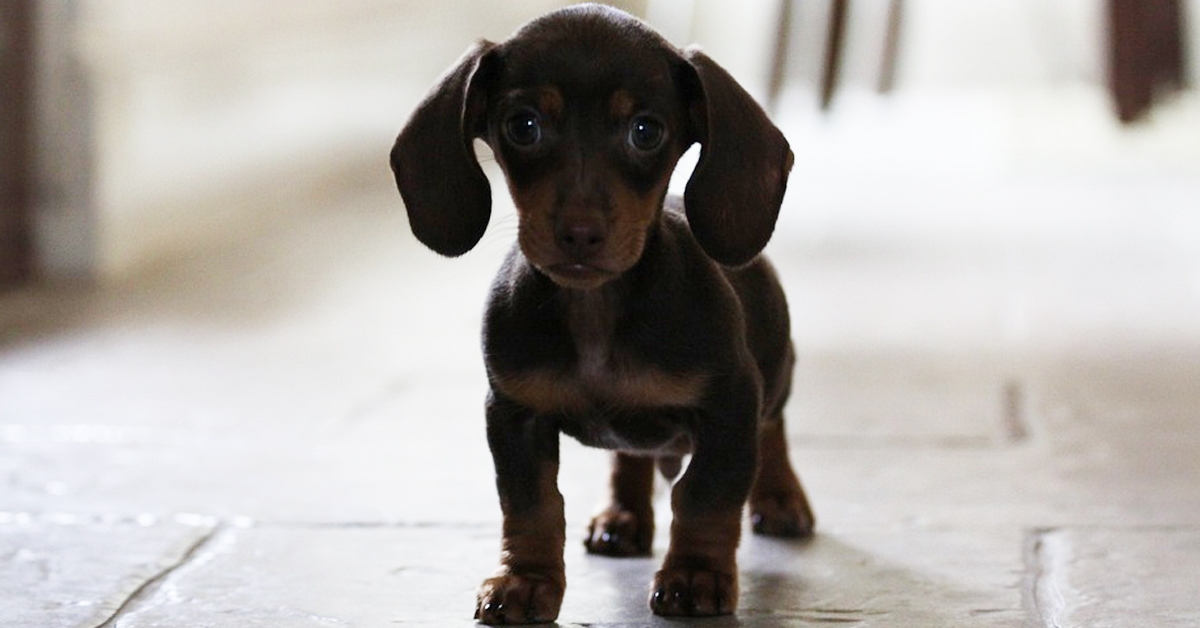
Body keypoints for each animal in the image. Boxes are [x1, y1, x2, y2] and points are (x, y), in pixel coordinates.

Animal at [393, 4, 816, 624]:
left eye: (646, 131)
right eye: (523, 126)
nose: (580, 233)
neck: (596, 310)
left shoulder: (730, 405)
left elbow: (705, 497)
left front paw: (695, 574)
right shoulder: (514, 415)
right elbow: (531, 506)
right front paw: (525, 582)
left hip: (776, 372)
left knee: (775, 428)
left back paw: (781, 496)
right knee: (629, 457)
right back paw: (623, 516)